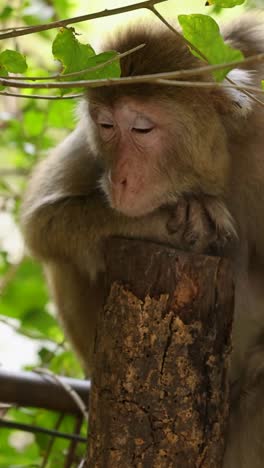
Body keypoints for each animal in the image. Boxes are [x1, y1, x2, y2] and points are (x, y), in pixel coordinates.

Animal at [21, 13, 264, 464]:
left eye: (142, 128)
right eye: (105, 126)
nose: (119, 178)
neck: (228, 149)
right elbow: (41, 222)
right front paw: (179, 214)